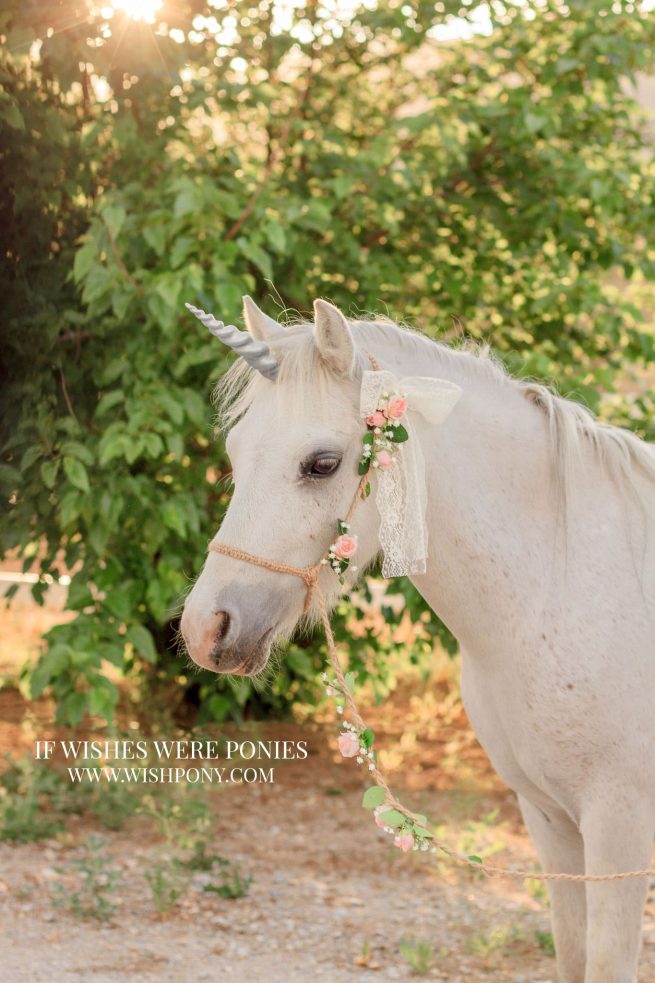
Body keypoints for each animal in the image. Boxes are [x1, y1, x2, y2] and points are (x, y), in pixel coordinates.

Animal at [180, 296, 655, 982]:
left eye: (322, 463)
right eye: (237, 453)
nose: (204, 628)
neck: (569, 578)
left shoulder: (620, 827)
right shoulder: (552, 822)